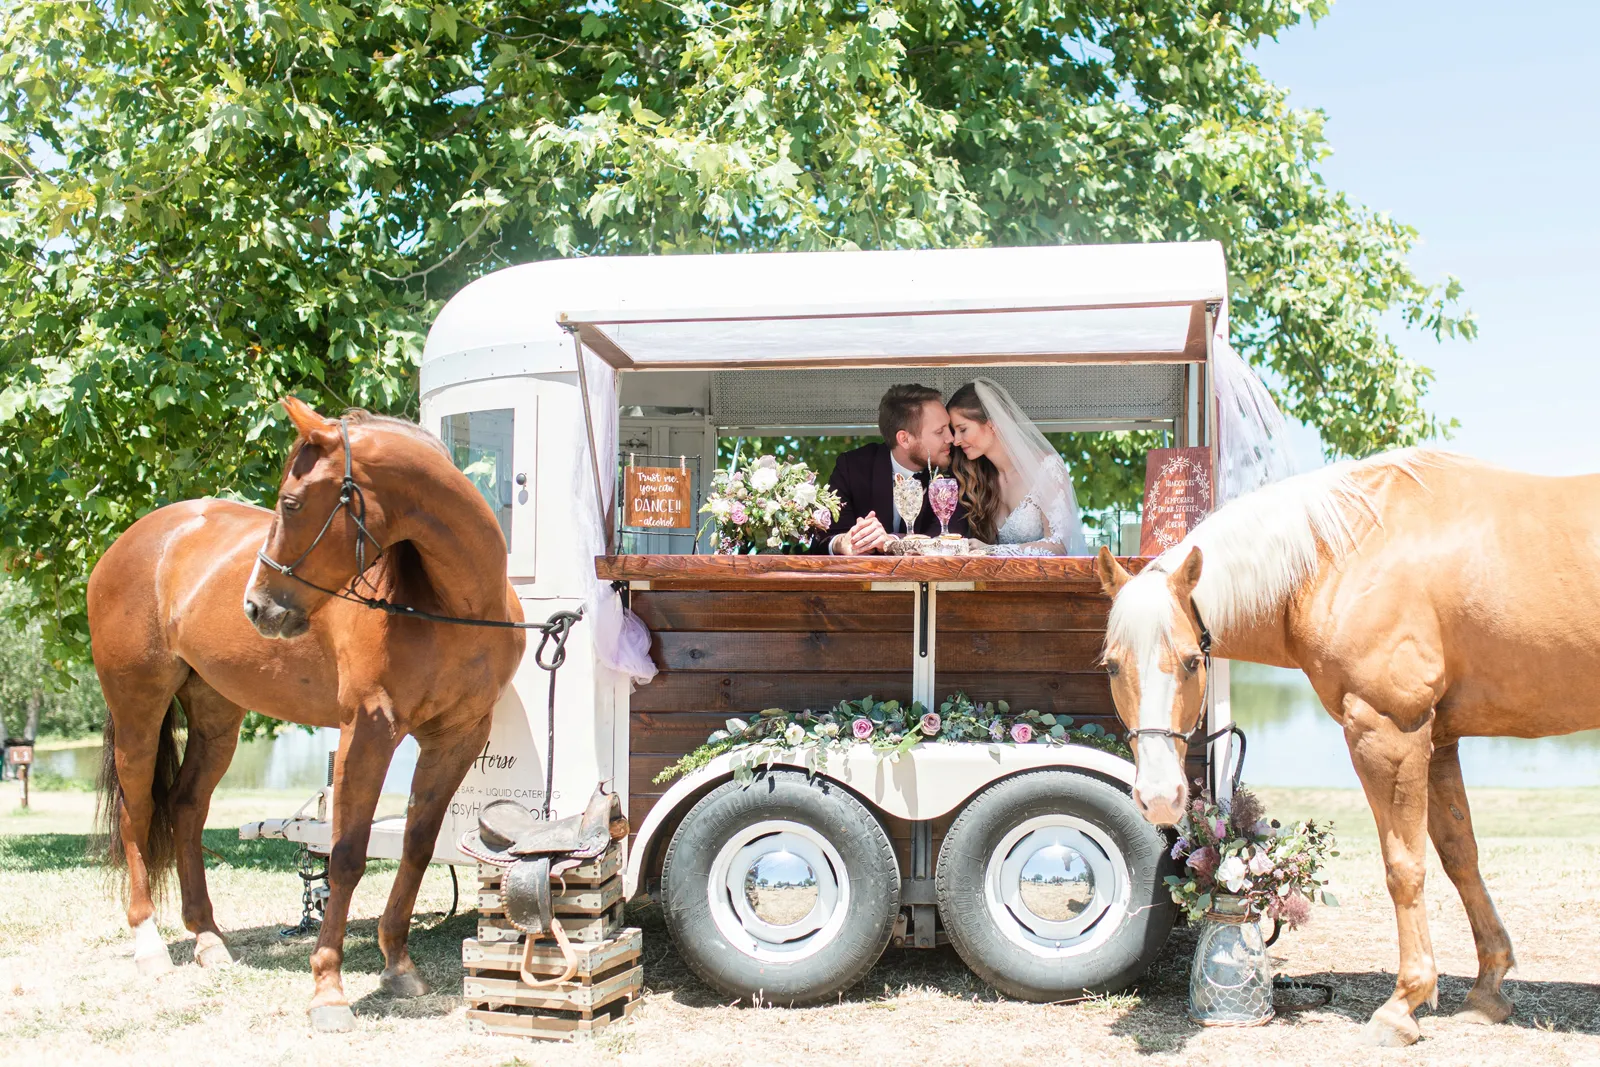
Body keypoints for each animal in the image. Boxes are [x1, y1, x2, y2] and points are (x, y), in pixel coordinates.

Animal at [90, 396, 524, 1030]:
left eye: (291, 503)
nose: (256, 606)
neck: (451, 605)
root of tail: (133, 542)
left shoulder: (457, 738)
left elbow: (418, 848)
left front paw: (399, 966)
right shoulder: (367, 732)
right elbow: (345, 857)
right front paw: (328, 989)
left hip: (217, 715)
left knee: (188, 808)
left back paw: (208, 939)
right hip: (137, 707)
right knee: (139, 811)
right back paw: (148, 942)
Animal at [1094, 451, 1600, 1049]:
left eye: (1192, 660)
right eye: (1111, 665)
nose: (1158, 796)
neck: (1344, 552)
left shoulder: (1390, 732)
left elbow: (1404, 867)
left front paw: (1403, 1004)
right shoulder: (1439, 741)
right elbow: (1460, 856)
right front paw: (1487, 990)